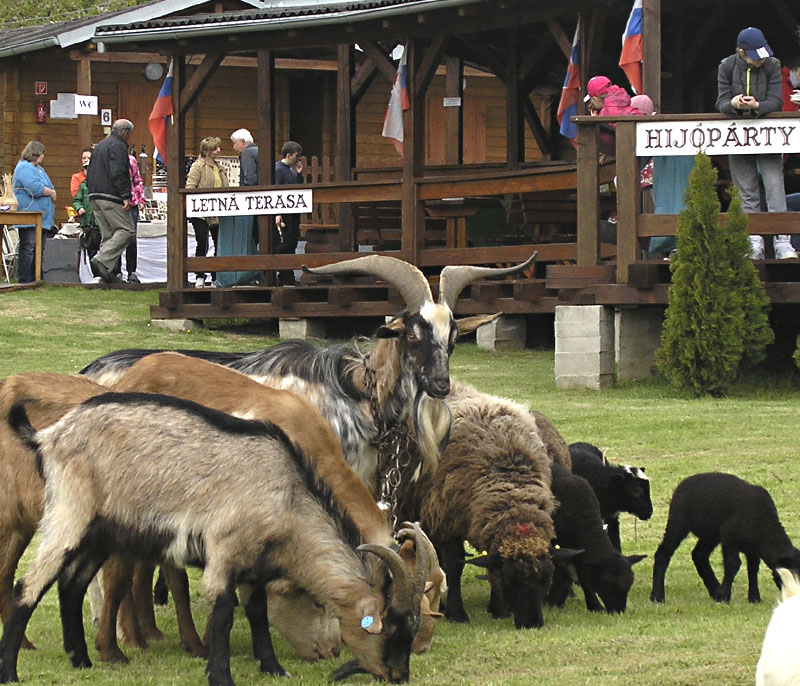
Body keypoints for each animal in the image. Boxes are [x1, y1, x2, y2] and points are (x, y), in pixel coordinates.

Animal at [1, 396, 432, 684]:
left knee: (71, 585)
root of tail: (50, 435)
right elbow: (223, 612)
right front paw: (220, 675)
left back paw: (82, 661)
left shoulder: (256, 567)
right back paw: (11, 672)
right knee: (29, 585)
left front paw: (273, 667)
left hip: (101, 533)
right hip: (69, 514)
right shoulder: (224, 551)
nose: (399, 676)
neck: (286, 495)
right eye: (390, 630)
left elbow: (257, 612)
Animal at [548, 464, 648, 616]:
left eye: (630, 583)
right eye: (607, 582)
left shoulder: (578, 549)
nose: (618, 611)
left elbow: (583, 574)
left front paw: (593, 605)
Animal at [648, 476, 800, 604]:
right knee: (663, 553)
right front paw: (724, 596)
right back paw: (657, 596)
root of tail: (683, 483)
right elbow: (733, 564)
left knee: (699, 555)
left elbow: (753, 568)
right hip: (679, 521)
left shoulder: (752, 549)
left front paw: (754, 598)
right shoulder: (729, 537)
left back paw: (714, 589)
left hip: (710, 533)